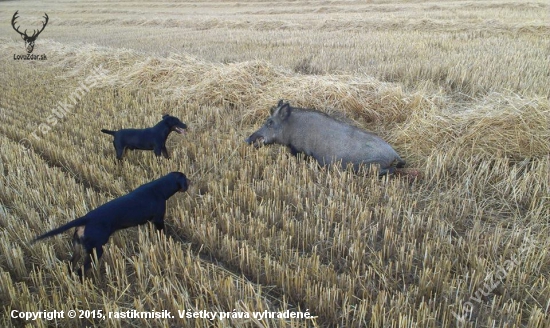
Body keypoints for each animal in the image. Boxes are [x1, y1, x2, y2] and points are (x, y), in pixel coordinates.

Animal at [33, 172, 192, 276]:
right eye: (185, 178)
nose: (191, 181)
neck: (160, 188)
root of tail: (86, 218)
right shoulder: (158, 220)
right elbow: (162, 233)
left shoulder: (151, 221)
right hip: (96, 250)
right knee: (81, 270)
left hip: (78, 248)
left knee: (70, 265)